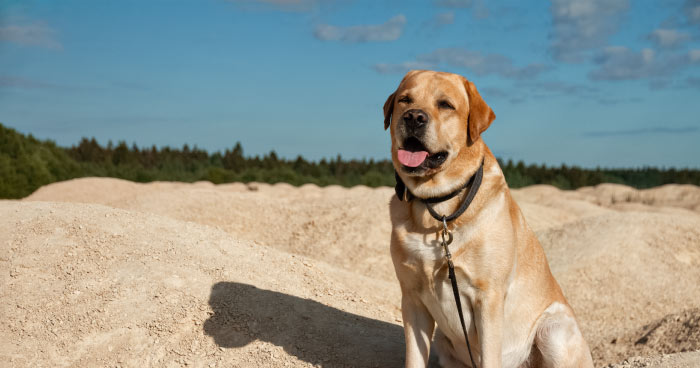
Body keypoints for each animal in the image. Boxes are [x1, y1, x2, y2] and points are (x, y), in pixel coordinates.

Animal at [386, 70, 592, 366]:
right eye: (405, 100)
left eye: (445, 105)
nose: (413, 117)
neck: (437, 210)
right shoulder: (412, 299)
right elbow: (414, 358)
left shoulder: (488, 299)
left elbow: (489, 355)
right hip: (445, 346)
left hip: (554, 330)